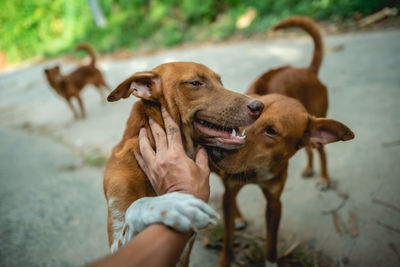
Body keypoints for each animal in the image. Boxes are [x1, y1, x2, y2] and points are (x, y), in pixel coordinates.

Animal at [209, 93, 354, 266]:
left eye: (271, 131)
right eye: (246, 119)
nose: (215, 151)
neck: (257, 168)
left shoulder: (274, 203)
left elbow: (272, 243)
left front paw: (271, 262)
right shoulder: (230, 191)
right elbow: (228, 237)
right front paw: (225, 260)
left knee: (320, 152)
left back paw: (323, 179)